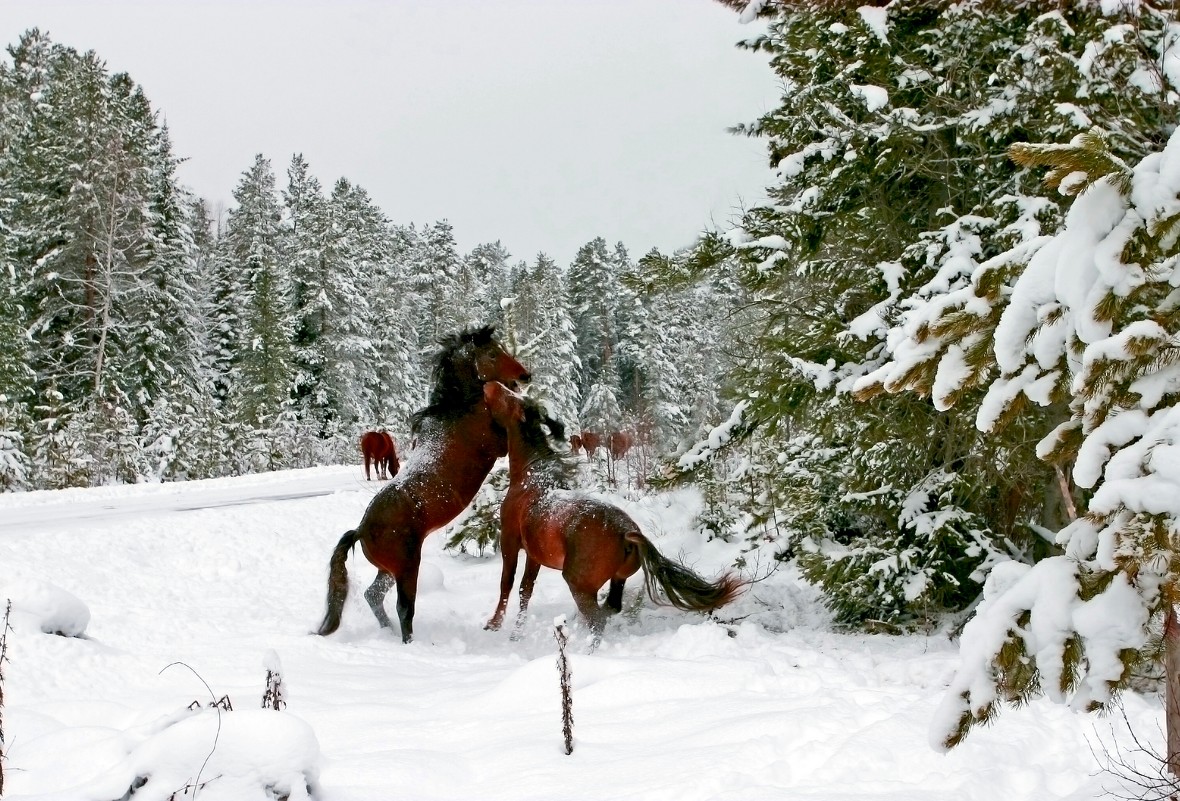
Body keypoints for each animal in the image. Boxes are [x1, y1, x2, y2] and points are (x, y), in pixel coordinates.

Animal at [318, 325, 531, 646]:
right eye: (493, 353)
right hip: (407, 568)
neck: (459, 409)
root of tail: (361, 530)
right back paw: (408, 642)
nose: (525, 376)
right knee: (404, 607)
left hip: (389, 571)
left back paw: (388, 631)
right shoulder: (497, 442)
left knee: (373, 595)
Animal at [476, 382, 736, 646]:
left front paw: (494, 624)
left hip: (578, 583)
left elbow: (507, 584)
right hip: (617, 579)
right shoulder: (534, 554)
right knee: (611, 608)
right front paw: (516, 634)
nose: (490, 385)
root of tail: (627, 533)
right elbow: (525, 590)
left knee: (598, 620)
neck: (531, 476)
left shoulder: (509, 540)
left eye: (510, 398)